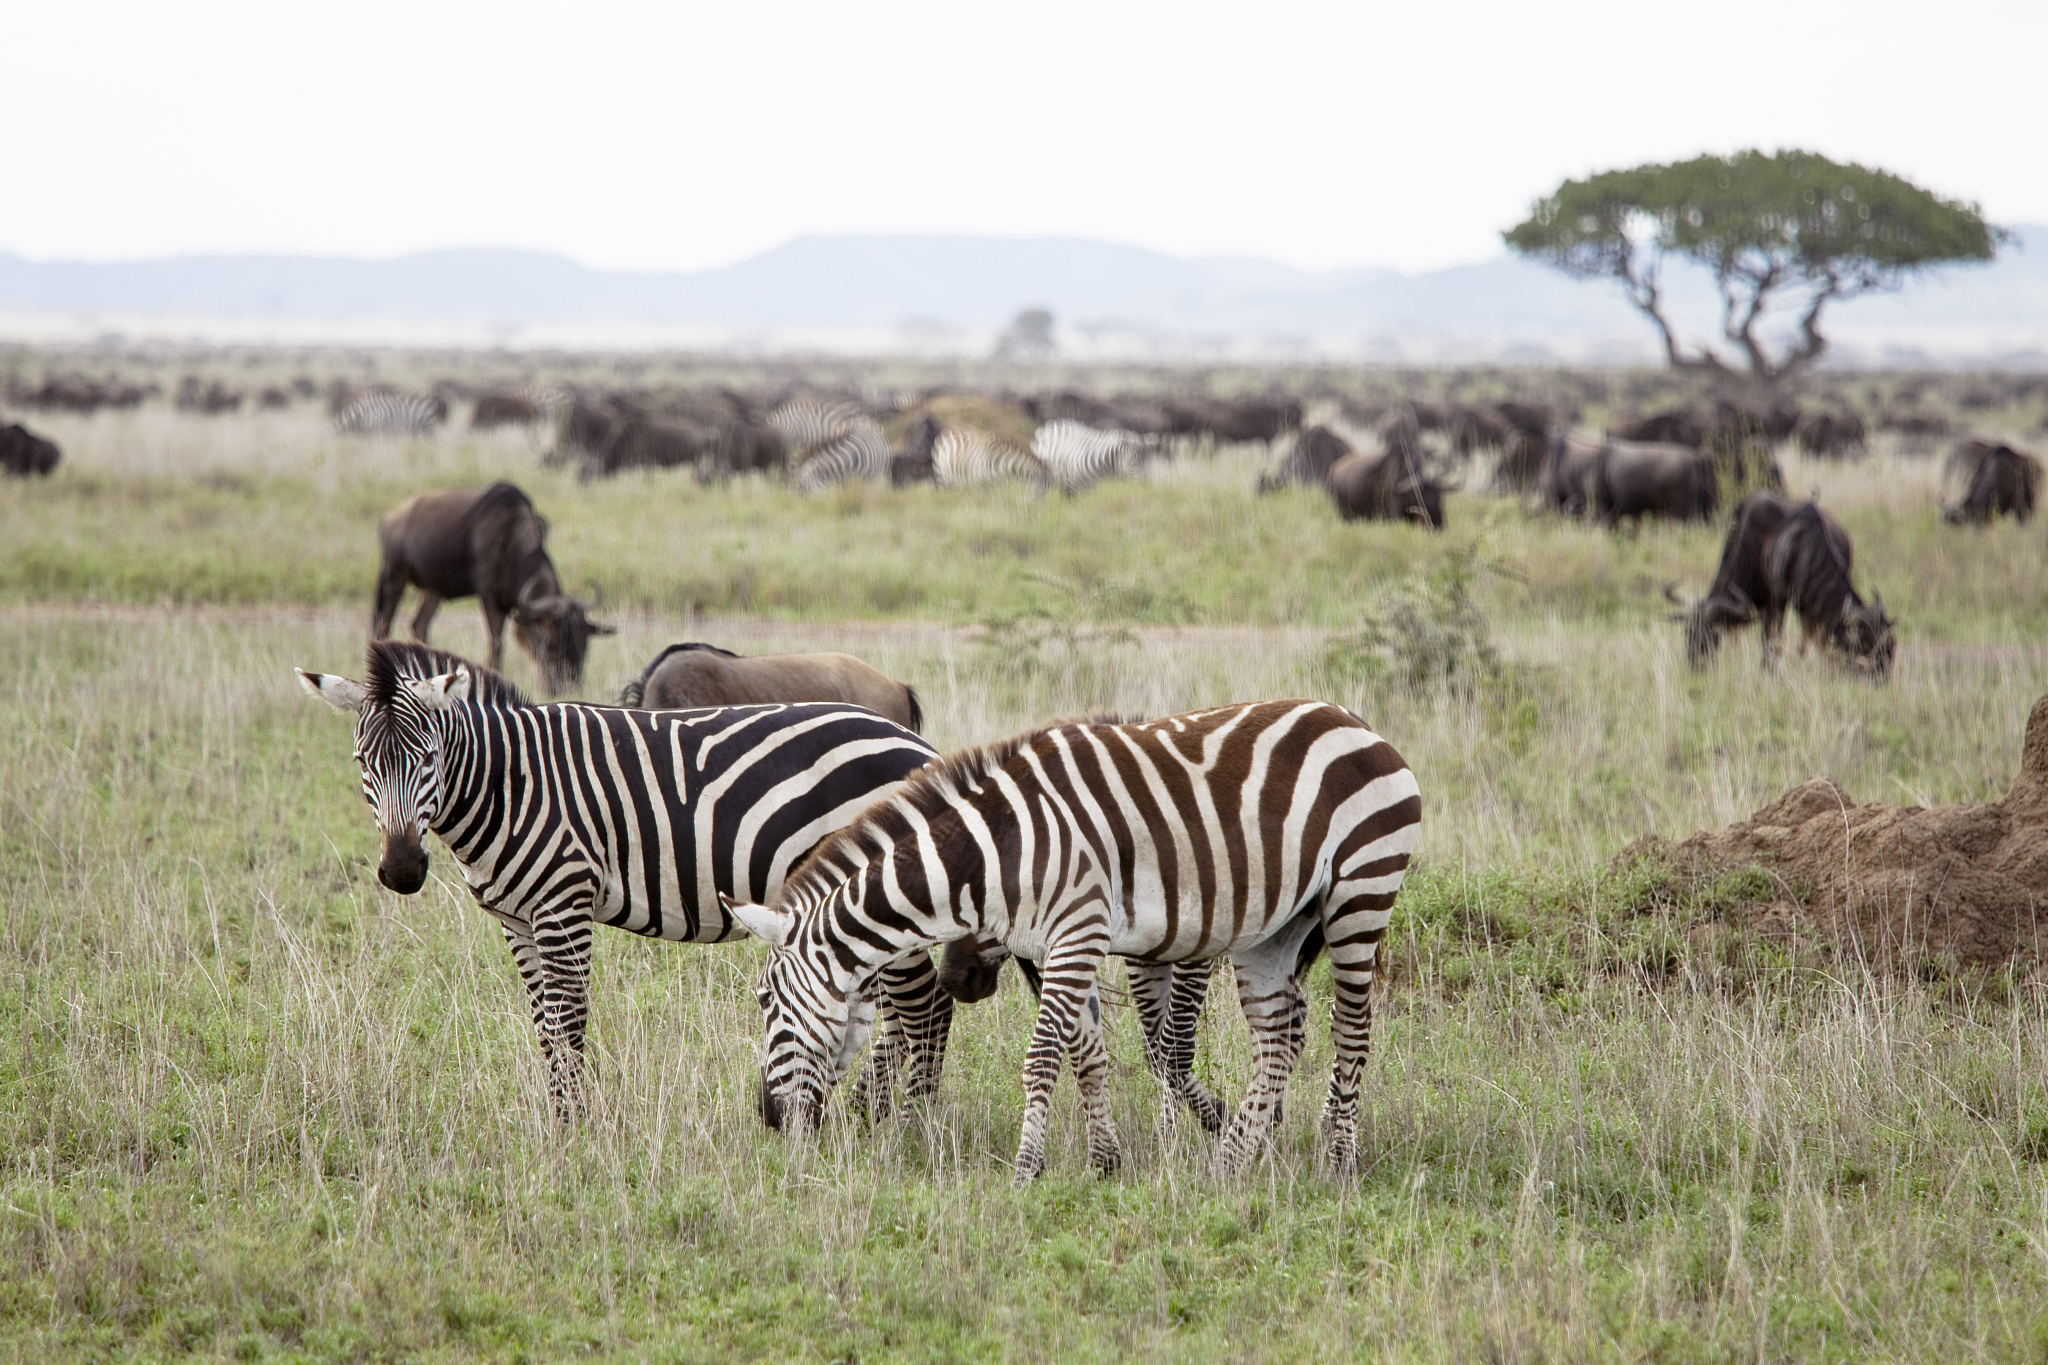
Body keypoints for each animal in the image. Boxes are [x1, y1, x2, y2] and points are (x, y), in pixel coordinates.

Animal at [297, 639, 958, 1120]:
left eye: (429, 757)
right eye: (362, 763)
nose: (402, 871)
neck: (510, 784)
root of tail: (915, 742)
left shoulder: (563, 902)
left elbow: (568, 1019)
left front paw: (575, 1130)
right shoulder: (516, 918)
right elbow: (543, 1024)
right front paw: (558, 1120)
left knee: (924, 1003)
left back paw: (910, 1125)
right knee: (905, 1007)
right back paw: (869, 1114)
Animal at [730, 699, 1422, 1183]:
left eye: (765, 1001)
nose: (769, 1117)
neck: (997, 851)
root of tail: (1351, 718)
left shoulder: (1077, 931)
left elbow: (1042, 1057)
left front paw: (1025, 1171)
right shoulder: (1059, 945)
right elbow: (1085, 1051)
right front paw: (1105, 1164)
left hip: (1361, 890)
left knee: (1351, 1030)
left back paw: (1336, 1160)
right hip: (1277, 929)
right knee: (1276, 1039)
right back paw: (1229, 1164)